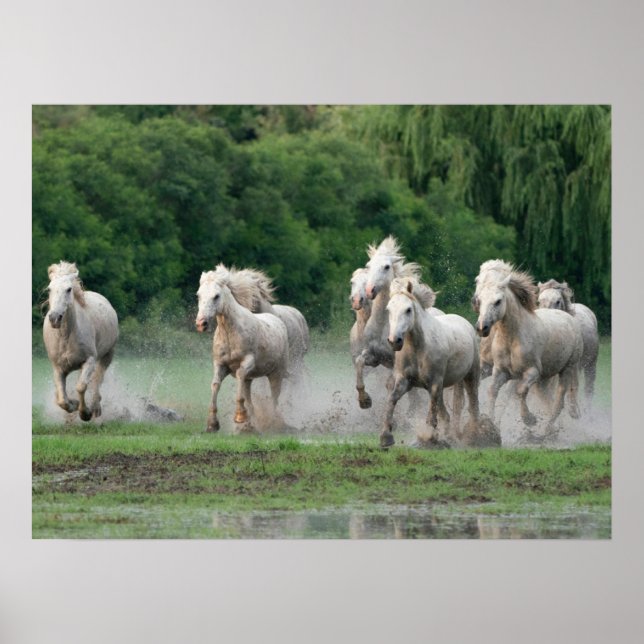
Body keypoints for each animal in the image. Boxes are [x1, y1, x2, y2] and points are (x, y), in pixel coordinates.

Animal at [43, 261, 119, 421]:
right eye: (49, 289)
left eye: (68, 289)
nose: (54, 318)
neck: (66, 337)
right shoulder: (58, 368)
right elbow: (61, 399)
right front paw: (74, 404)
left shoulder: (89, 360)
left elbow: (81, 386)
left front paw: (85, 413)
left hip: (107, 355)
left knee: (97, 380)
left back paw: (95, 408)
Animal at [195, 270, 289, 433]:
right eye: (199, 295)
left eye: (216, 296)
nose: (201, 324)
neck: (229, 332)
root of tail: (277, 320)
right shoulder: (220, 364)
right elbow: (215, 384)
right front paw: (212, 424)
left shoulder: (247, 362)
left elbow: (239, 375)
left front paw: (239, 417)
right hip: (250, 378)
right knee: (250, 396)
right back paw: (250, 425)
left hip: (276, 373)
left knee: (274, 398)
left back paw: (273, 424)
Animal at [381, 279, 481, 448]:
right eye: (388, 310)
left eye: (408, 310)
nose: (395, 341)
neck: (418, 348)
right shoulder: (405, 381)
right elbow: (392, 399)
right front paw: (385, 437)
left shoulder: (434, 383)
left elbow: (432, 413)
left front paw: (428, 438)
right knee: (448, 413)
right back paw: (450, 436)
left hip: (471, 376)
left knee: (473, 405)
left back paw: (475, 436)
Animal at [473, 260, 583, 432]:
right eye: (482, 300)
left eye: (498, 301)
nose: (481, 327)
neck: (511, 338)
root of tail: (567, 316)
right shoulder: (500, 371)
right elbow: (493, 391)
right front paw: (489, 424)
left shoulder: (532, 372)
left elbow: (520, 391)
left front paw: (529, 419)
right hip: (546, 378)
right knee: (549, 401)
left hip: (567, 369)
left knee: (558, 402)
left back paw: (547, 431)